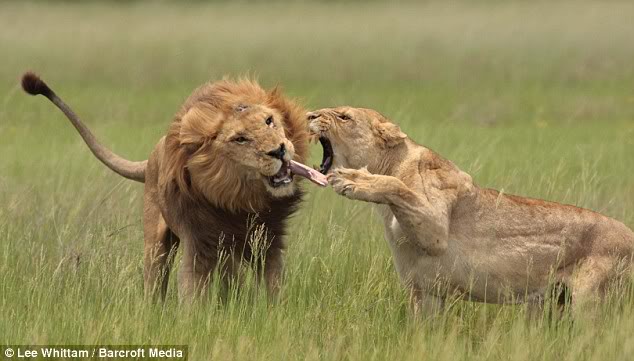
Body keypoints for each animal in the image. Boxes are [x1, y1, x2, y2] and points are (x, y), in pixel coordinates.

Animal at [21, 71, 314, 300]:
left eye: (269, 121)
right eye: (240, 139)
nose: (279, 150)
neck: (240, 200)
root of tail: (153, 154)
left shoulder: (268, 242)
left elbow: (272, 287)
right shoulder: (199, 242)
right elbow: (192, 291)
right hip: (156, 243)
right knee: (156, 280)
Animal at [308, 105, 632, 314]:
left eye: (344, 116)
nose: (309, 115)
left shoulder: (436, 228)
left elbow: (397, 187)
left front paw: (354, 180)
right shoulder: (426, 292)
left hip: (591, 301)